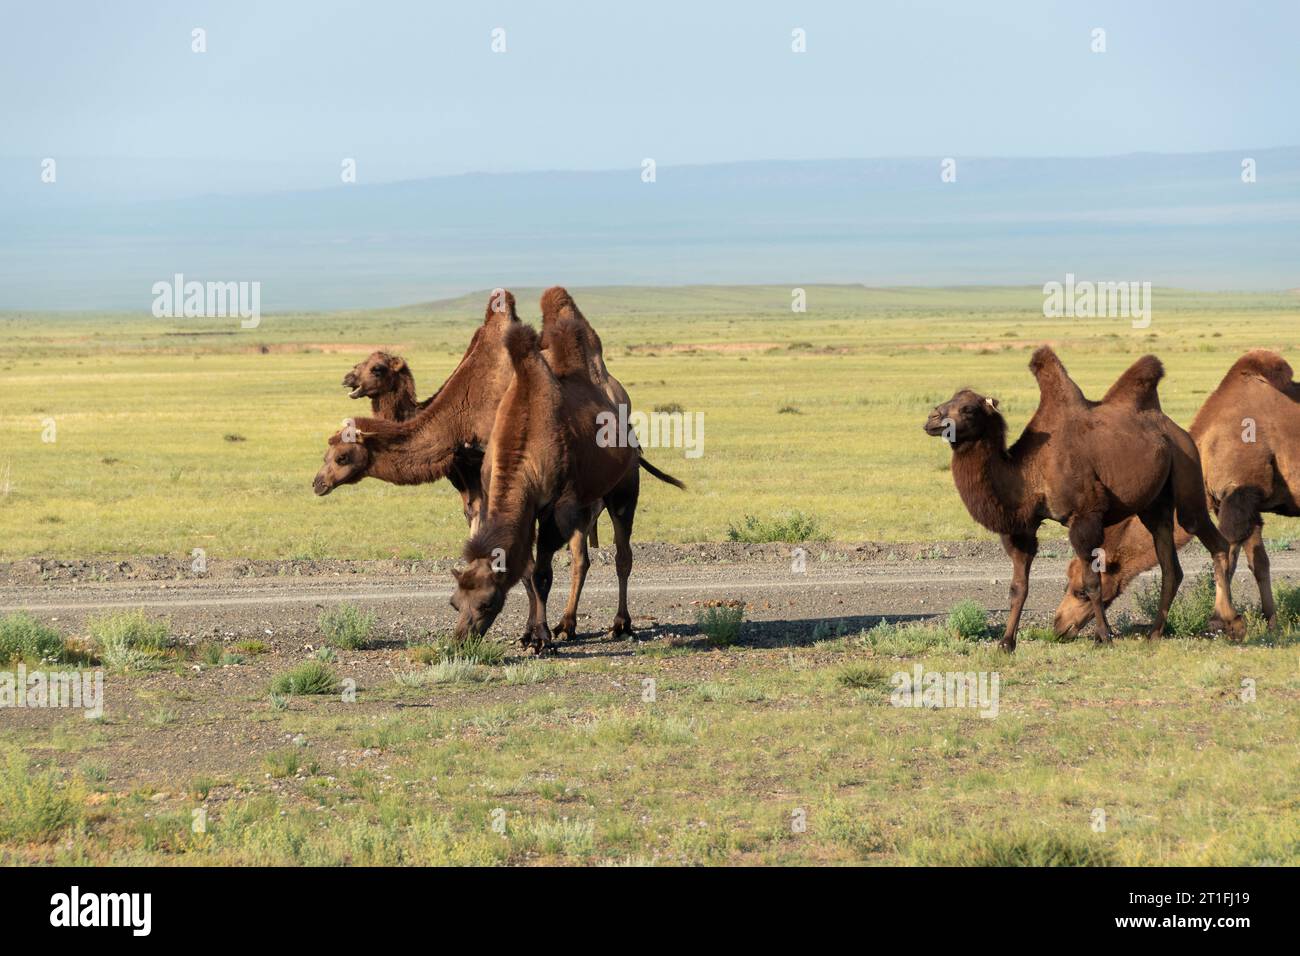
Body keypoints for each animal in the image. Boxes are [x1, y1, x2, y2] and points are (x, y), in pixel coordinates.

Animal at [451, 319, 680, 652]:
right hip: (585, 507)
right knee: (582, 559)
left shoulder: (554, 509)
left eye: (487, 603)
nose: (461, 639)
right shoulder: (527, 509)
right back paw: (568, 624)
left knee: (622, 556)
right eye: (454, 603)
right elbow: (528, 571)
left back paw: (620, 623)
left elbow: (542, 575)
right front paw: (530, 633)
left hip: (623, 489)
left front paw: (541, 638)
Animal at [923, 346, 1243, 651]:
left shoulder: (1084, 516)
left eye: (967, 408)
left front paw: (1104, 637)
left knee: (1210, 537)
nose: (932, 419)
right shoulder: (1023, 527)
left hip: (1187, 468)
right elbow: (1018, 586)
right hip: (1155, 505)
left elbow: (1092, 583)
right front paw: (1006, 643)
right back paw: (1154, 633)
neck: (1028, 471)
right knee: (1170, 566)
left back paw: (1230, 623)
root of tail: (1177, 430)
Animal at [1054, 350, 1300, 635]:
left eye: (1079, 591)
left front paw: (1219, 620)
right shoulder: (1240, 503)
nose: (1059, 624)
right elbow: (1258, 562)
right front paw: (1271, 622)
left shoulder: (1240, 494)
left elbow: (1228, 553)